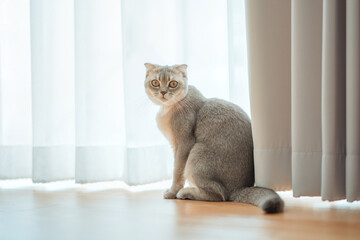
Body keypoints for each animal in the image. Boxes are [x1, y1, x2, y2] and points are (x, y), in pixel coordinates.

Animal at [143, 62, 284, 213]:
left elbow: (177, 171)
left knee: (220, 195)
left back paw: (186, 192)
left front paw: (172, 192)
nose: (163, 92)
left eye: (173, 84)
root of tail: (240, 187)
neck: (168, 109)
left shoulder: (183, 144)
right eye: (155, 83)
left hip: (196, 153)